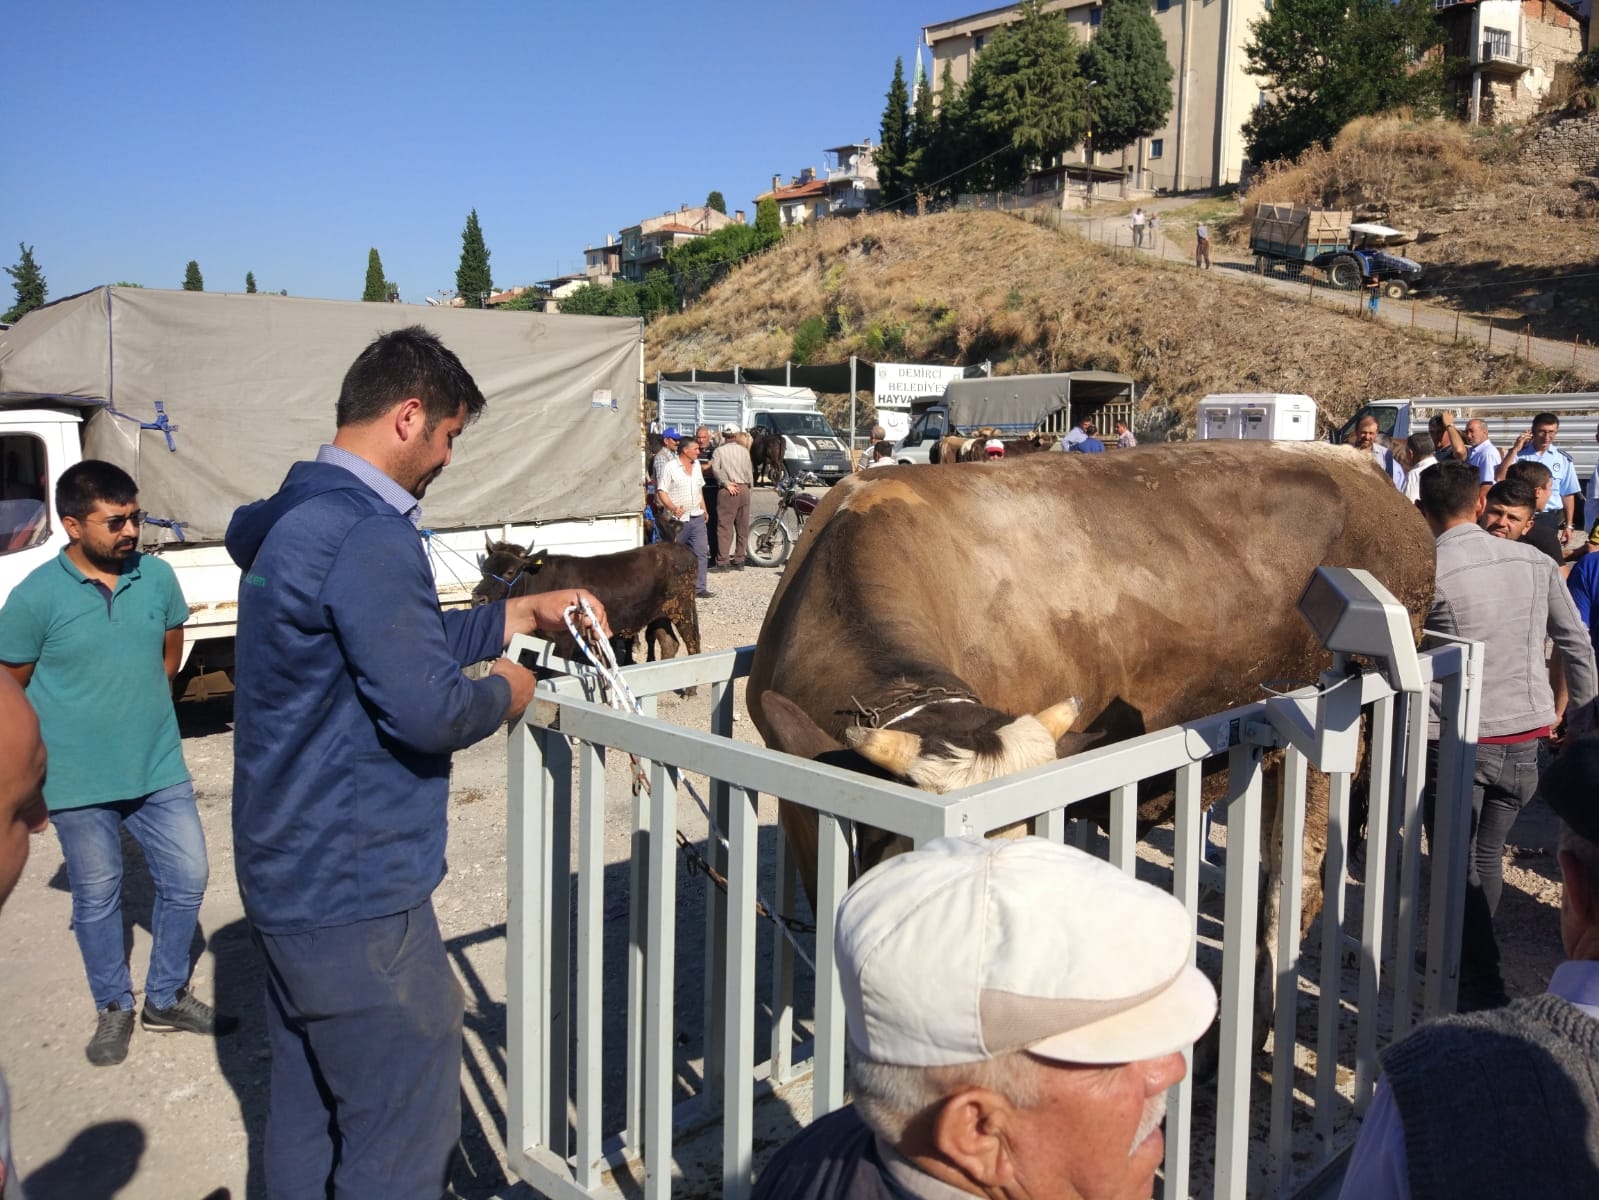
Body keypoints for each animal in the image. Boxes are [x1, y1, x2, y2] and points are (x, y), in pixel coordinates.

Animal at [475, 539, 701, 666]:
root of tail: (682, 549)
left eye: (510, 571)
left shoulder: (564, 640)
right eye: (484, 568)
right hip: (660, 614)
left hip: (682, 609)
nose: (478, 597)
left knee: (691, 642)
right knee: (669, 644)